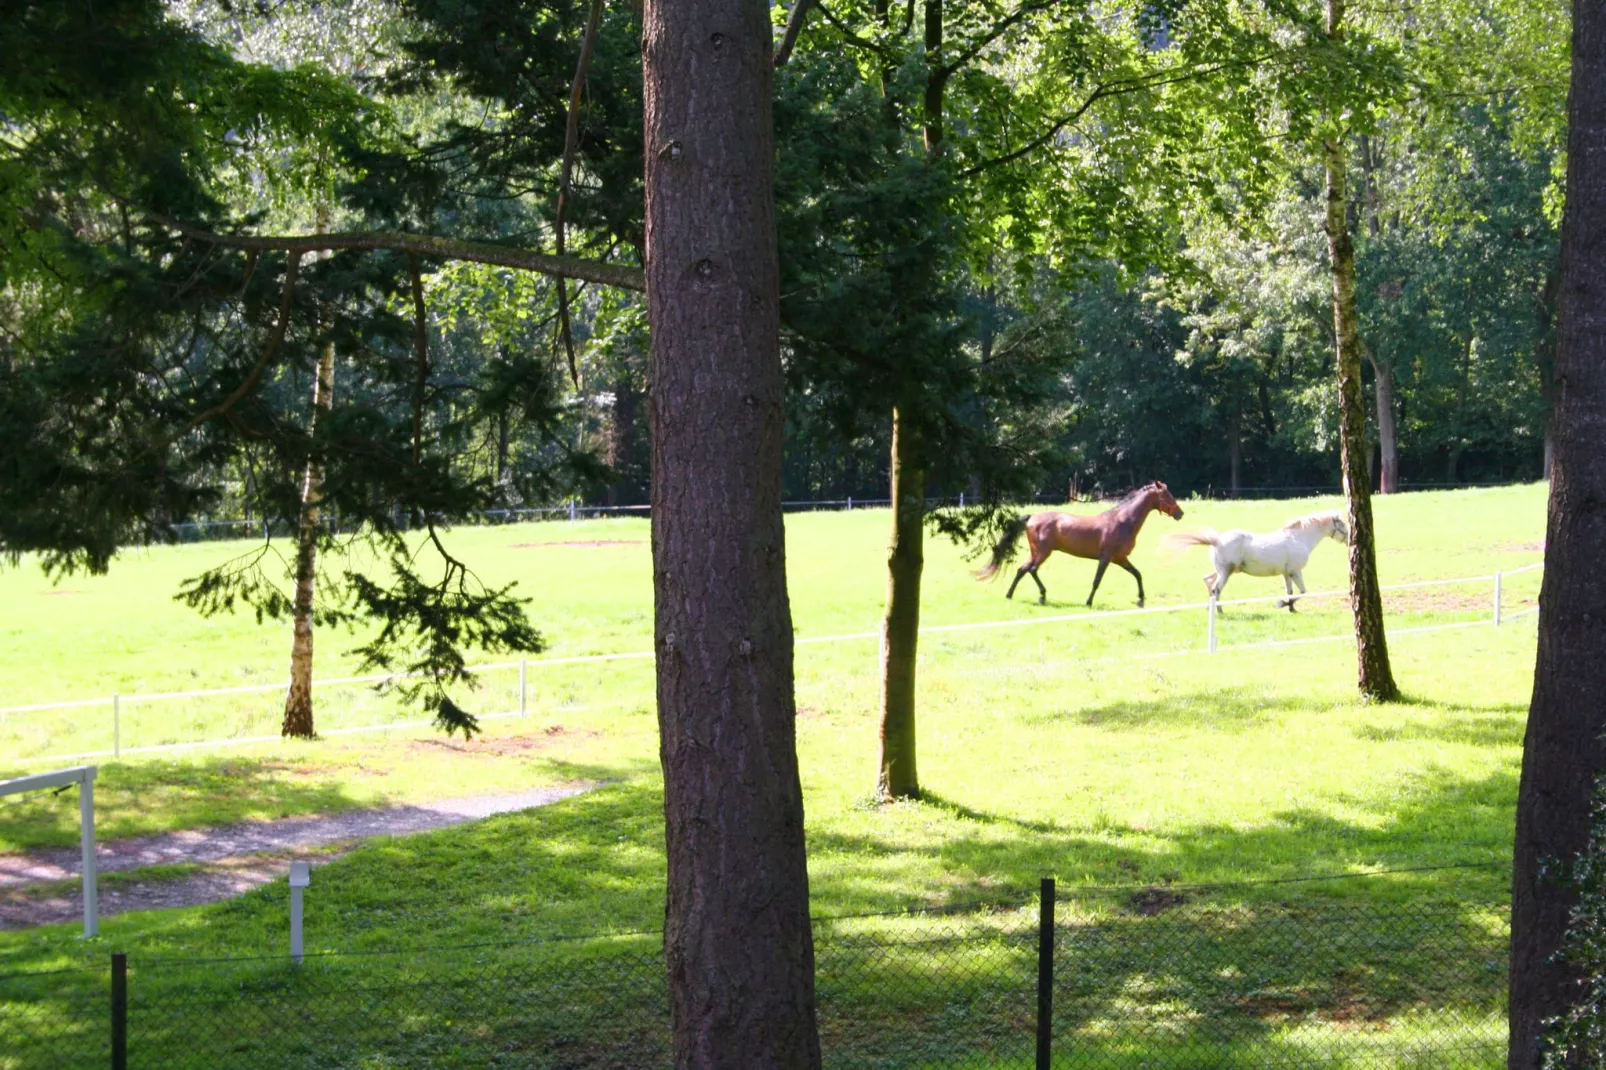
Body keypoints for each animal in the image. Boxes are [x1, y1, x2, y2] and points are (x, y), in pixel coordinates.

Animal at [970, 478, 1188, 604]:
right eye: (1166, 494)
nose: (1180, 513)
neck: (1122, 521)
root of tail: (1032, 518)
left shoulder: (1120, 558)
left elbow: (1137, 574)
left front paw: (1141, 599)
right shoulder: (1106, 558)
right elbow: (1097, 581)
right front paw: (1088, 602)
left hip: (1036, 552)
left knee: (1022, 570)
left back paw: (1010, 595)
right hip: (1043, 552)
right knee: (1031, 569)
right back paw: (1042, 596)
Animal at [1162, 507, 1349, 607]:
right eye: (1342, 524)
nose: (1350, 539)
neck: (1299, 538)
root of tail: (1217, 540)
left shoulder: (1286, 573)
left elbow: (1290, 592)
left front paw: (1290, 608)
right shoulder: (1295, 571)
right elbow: (1302, 592)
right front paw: (1282, 604)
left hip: (1222, 570)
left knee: (1208, 582)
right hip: (1226, 572)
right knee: (1216, 589)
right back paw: (1220, 612)